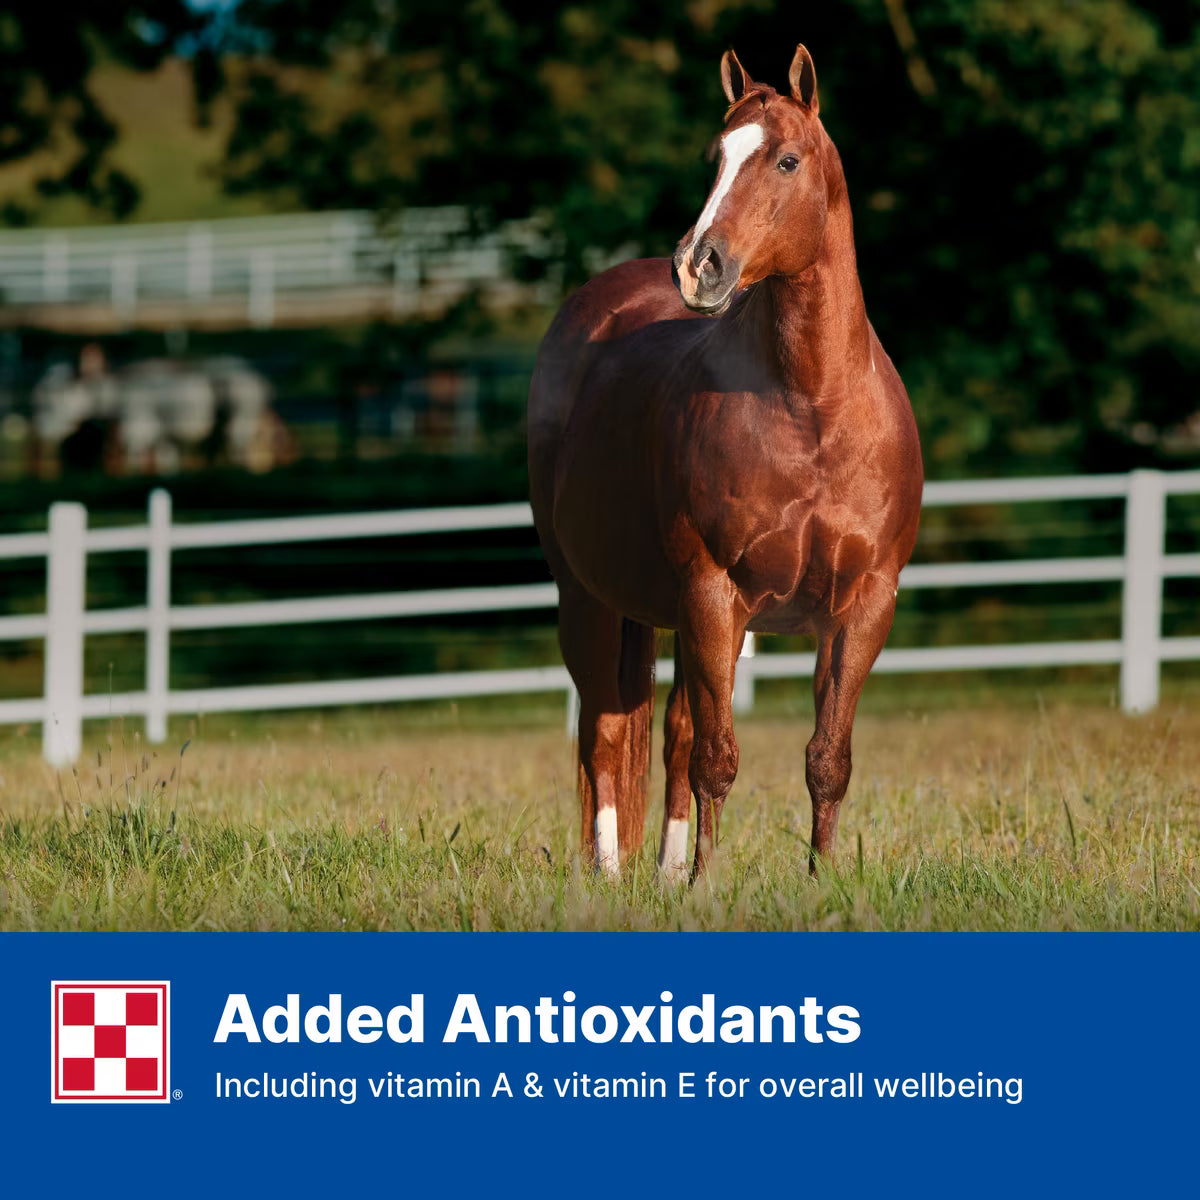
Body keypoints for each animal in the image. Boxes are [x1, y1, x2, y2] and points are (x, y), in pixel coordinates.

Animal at [528, 44, 923, 882]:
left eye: (786, 159)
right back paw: (610, 872)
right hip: (588, 598)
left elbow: (824, 759)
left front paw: (819, 879)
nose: (698, 266)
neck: (812, 409)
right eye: (716, 157)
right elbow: (716, 757)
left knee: (668, 732)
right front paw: (708, 886)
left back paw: (665, 870)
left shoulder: (863, 606)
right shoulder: (714, 592)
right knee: (604, 735)